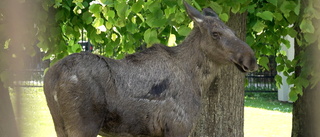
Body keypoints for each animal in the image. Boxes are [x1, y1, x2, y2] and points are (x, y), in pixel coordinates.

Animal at [43, 1, 258, 137]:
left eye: (234, 31)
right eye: (215, 33)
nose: (251, 59)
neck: (199, 82)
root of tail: (51, 77)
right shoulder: (178, 128)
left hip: (59, 124)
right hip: (84, 126)